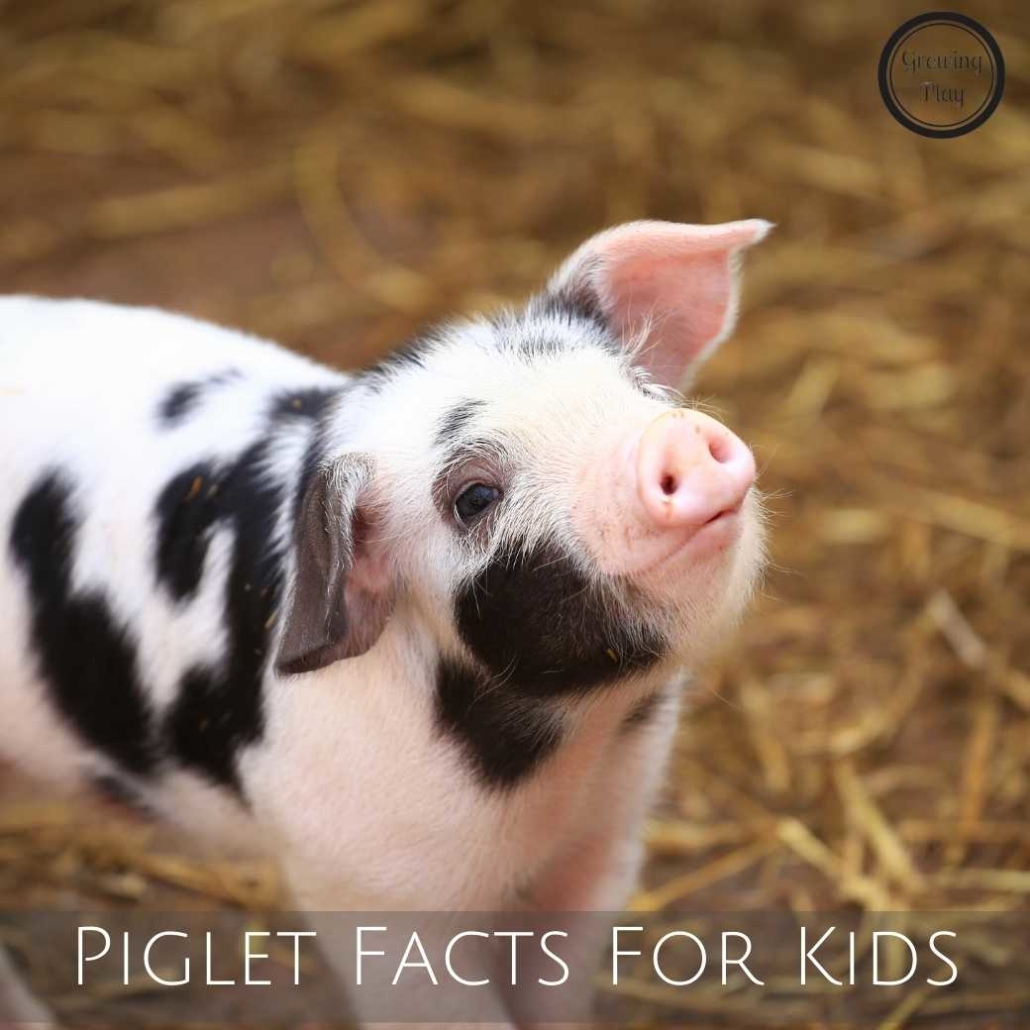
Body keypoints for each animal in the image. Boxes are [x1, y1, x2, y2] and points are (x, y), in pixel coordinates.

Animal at [0, 219, 770, 1027]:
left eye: (640, 390)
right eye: (474, 497)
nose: (671, 436)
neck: (564, 755)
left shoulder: (600, 848)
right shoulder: (369, 884)